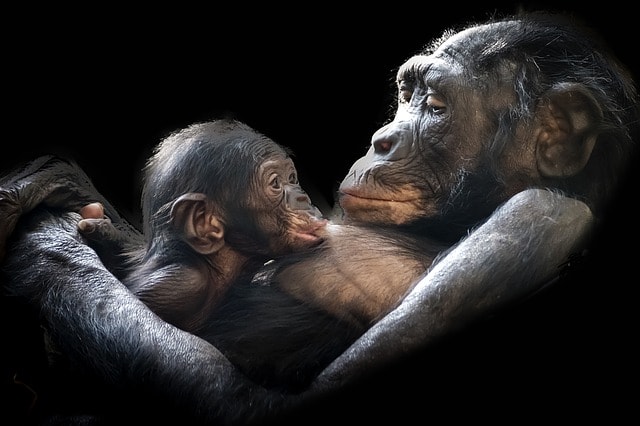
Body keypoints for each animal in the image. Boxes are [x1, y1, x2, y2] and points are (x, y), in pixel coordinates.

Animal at [0, 10, 637, 425]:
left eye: (435, 107)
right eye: (405, 94)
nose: (381, 141)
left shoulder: (542, 218)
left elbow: (253, 403)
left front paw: (49, 247)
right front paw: (65, 197)